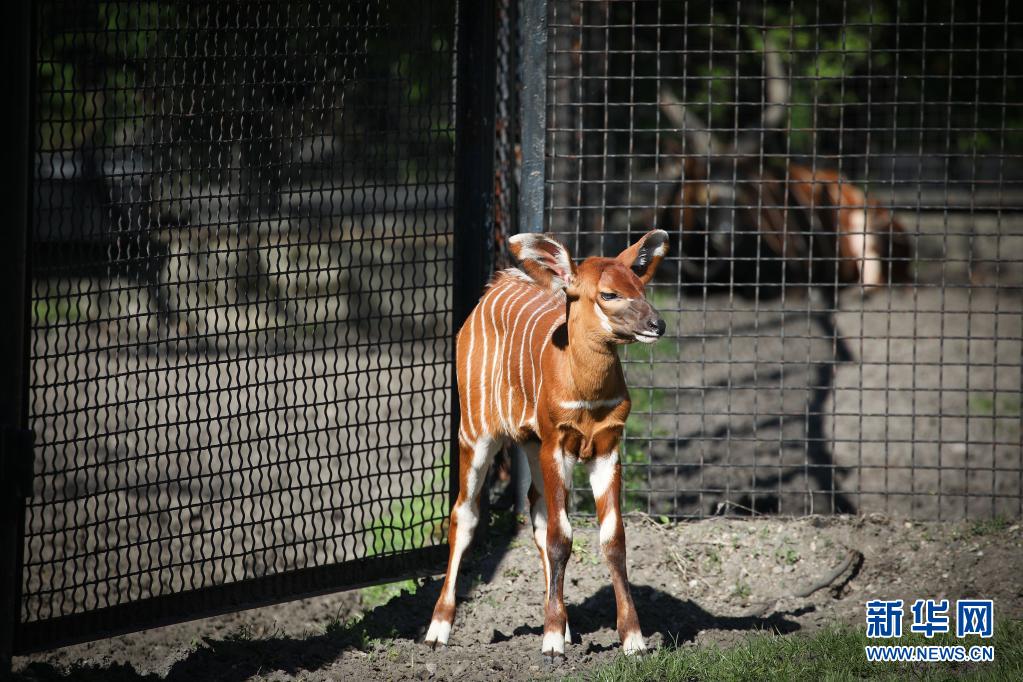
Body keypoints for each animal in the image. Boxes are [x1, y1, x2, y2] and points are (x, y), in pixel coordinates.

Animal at [424, 229, 669, 660]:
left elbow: (613, 539)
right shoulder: (558, 444)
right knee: (464, 513)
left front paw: (633, 641)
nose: (657, 324)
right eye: (608, 294)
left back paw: (565, 626)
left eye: (641, 287)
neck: (586, 393)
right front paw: (552, 642)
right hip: (477, 434)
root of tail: (496, 286)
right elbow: (561, 537)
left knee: (537, 513)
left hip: (529, 444)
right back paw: (439, 630)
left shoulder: (605, 448)